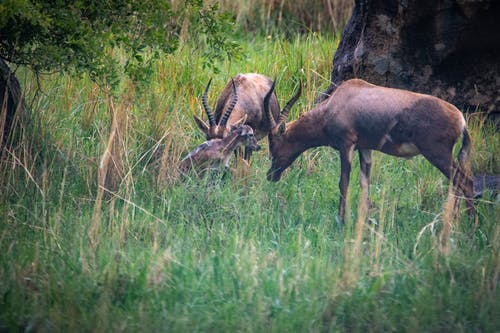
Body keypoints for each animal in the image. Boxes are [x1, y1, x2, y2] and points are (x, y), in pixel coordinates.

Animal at [264, 79, 474, 222]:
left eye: (273, 144)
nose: (271, 175)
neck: (340, 100)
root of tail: (460, 119)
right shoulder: (365, 148)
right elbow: (365, 184)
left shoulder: (346, 145)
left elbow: (344, 183)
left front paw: (341, 220)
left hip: (438, 155)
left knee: (465, 183)